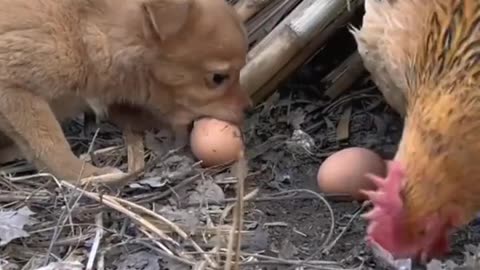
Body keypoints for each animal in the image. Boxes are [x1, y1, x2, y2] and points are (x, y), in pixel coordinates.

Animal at [0, 0, 253, 184]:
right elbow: (51, 146)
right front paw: (88, 175)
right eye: (218, 78)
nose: (249, 110)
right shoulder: (12, 86)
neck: (84, 31)